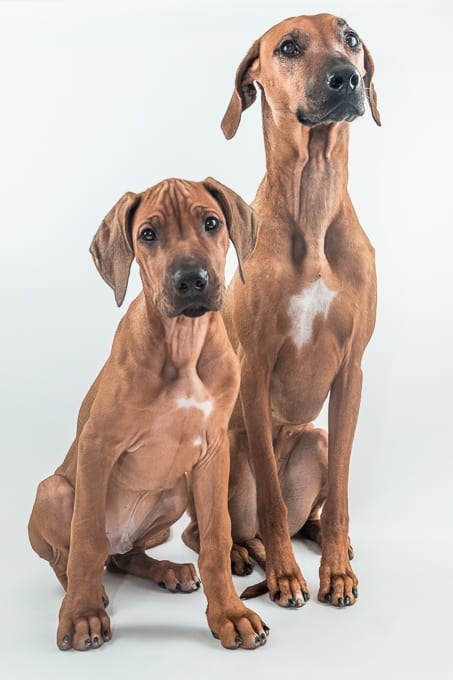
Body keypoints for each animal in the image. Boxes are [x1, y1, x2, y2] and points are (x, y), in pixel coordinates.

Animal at [28, 178, 268, 652]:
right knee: (73, 557)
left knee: (125, 557)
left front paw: (229, 614)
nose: (191, 280)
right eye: (148, 235)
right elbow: (85, 537)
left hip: (174, 491)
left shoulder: (214, 452)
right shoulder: (98, 445)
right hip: (55, 490)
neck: (183, 344)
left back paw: (168, 571)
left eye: (211, 223)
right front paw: (82, 615)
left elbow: (217, 537)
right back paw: (85, 594)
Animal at [184, 13, 378, 612]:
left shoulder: (352, 371)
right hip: (228, 451)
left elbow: (341, 494)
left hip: (314, 439)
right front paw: (288, 576)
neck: (312, 203)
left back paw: (315, 536)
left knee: (308, 510)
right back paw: (244, 553)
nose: (347, 77)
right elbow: (269, 499)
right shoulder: (255, 367)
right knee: (211, 529)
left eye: (351, 38)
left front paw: (335, 570)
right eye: (288, 47)